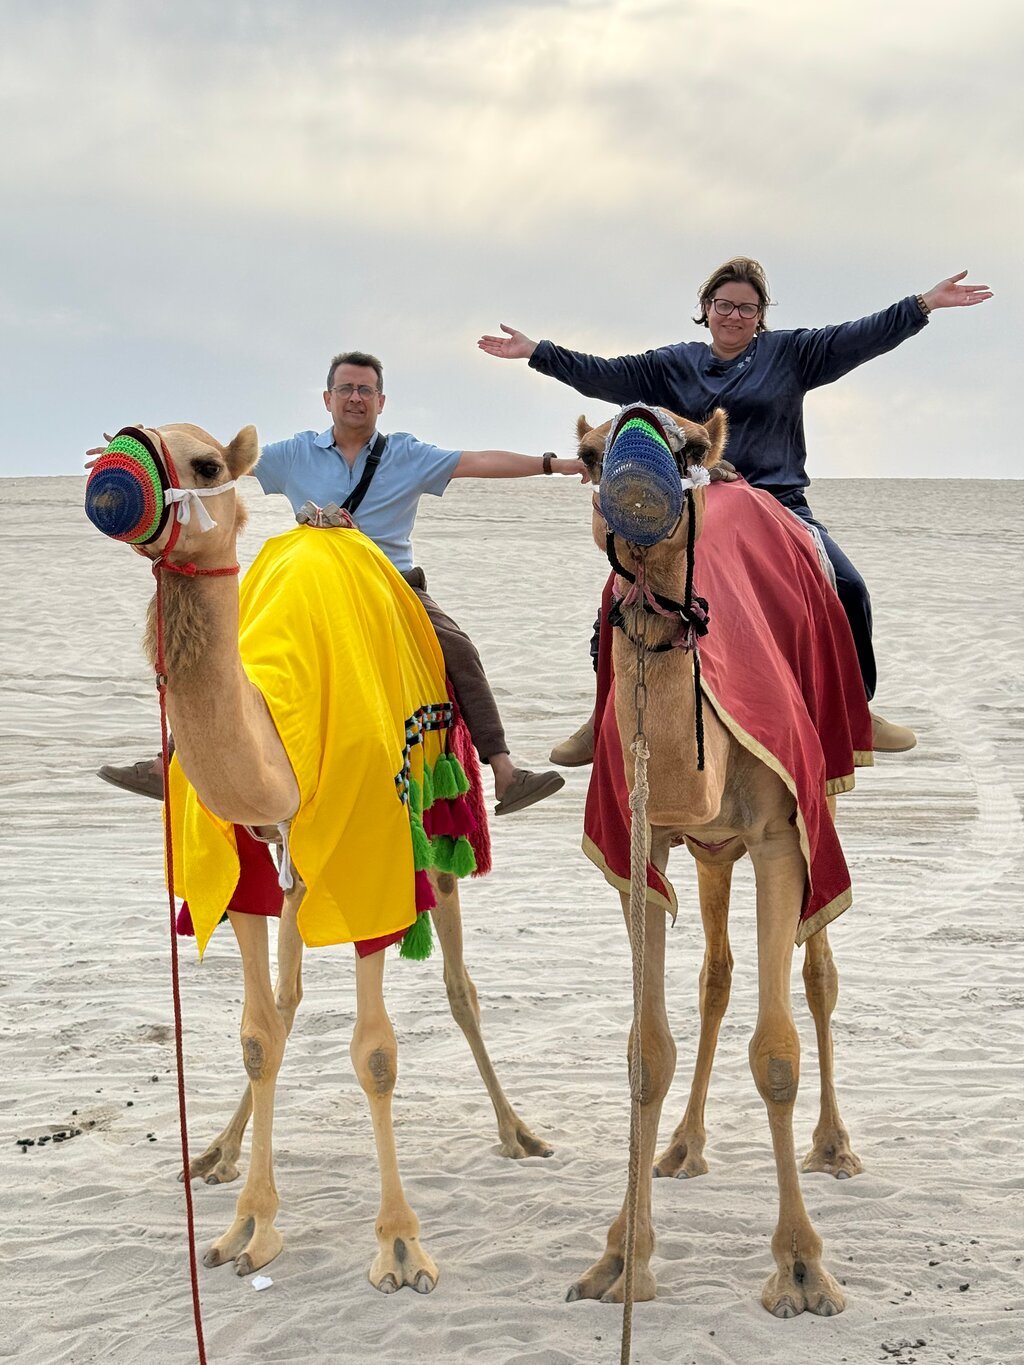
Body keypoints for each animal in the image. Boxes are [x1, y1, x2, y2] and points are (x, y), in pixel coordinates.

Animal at [84, 422, 550, 1293]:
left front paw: (399, 1244)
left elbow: (375, 1053)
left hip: (438, 834)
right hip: (301, 879)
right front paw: (247, 1227)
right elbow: (259, 1033)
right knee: (290, 999)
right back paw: (218, 1150)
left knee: (460, 986)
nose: (109, 479)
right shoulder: (240, 880)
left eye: (206, 464)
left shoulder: (376, 869)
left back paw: (518, 1131)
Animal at [569, 404, 871, 1318]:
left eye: (694, 447)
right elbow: (645, 1054)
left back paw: (835, 1146)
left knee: (817, 972)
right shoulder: (640, 846)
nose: (637, 458)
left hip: (821, 803)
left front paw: (803, 1267)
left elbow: (776, 1054)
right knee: (717, 973)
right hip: (708, 854)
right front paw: (622, 1256)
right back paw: (683, 1144)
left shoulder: (779, 836)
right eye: (587, 454)